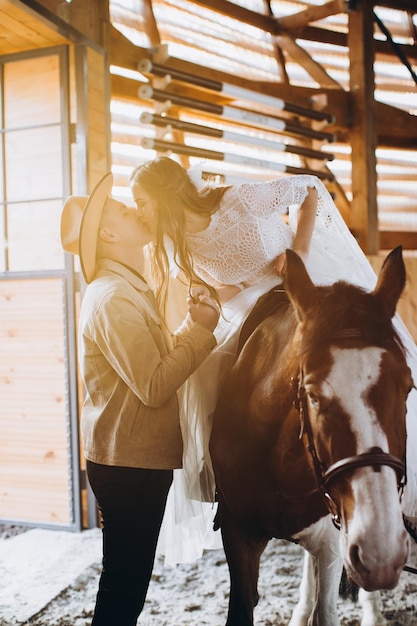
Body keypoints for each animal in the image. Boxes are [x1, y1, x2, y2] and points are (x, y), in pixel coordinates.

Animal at [210, 246, 412, 620]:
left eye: (408, 386)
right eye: (314, 395)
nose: (381, 552)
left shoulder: (332, 537)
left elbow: (327, 611)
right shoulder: (237, 532)